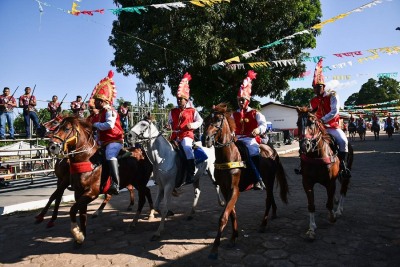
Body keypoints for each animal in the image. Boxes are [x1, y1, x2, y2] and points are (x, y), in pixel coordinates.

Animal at [44, 116, 154, 246]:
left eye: (66, 128)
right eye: (57, 127)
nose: (52, 146)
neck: (87, 160)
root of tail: (143, 152)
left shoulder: (92, 193)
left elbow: (72, 210)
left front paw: (77, 234)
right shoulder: (78, 192)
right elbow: (82, 214)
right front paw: (82, 235)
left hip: (140, 182)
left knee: (142, 197)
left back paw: (142, 217)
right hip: (137, 182)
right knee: (145, 191)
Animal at [202, 103, 290, 260]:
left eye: (217, 120)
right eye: (205, 120)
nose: (205, 139)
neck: (228, 156)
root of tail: (271, 150)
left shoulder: (234, 190)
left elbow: (223, 217)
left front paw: (215, 248)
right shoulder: (225, 190)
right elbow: (232, 213)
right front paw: (234, 237)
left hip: (269, 180)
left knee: (268, 200)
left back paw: (263, 224)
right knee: (271, 198)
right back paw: (273, 214)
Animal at [296, 108, 354, 242]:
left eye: (312, 122)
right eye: (297, 123)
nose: (304, 146)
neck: (316, 155)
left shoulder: (330, 182)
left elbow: (329, 203)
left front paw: (332, 216)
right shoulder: (307, 183)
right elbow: (311, 205)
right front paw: (311, 228)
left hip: (345, 176)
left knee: (343, 190)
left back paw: (339, 210)